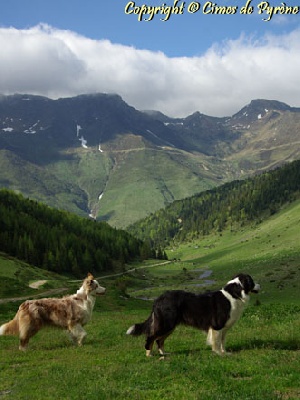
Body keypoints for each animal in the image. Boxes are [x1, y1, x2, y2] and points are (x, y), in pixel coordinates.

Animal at [126, 272, 260, 356]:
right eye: (252, 281)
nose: (260, 285)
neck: (233, 294)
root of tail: (158, 299)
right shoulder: (217, 326)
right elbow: (216, 342)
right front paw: (218, 354)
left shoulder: (224, 328)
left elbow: (222, 341)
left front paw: (224, 352)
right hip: (166, 324)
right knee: (151, 337)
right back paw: (149, 354)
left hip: (170, 326)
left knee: (159, 340)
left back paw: (164, 354)